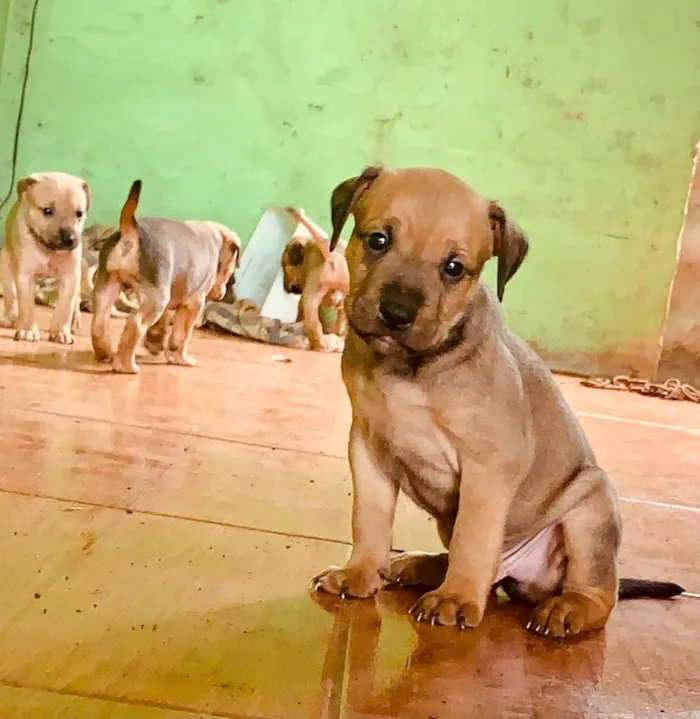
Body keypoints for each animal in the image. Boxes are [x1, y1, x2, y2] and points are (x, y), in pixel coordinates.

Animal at [0, 173, 90, 344]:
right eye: (48, 211)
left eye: (79, 213)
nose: (70, 239)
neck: (49, 249)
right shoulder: (26, 275)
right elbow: (27, 305)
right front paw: (28, 330)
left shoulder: (71, 276)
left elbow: (66, 306)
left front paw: (60, 331)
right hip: (5, 263)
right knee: (11, 296)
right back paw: (10, 318)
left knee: (76, 300)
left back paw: (74, 321)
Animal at [91, 180, 239, 374]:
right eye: (231, 275)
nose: (221, 295)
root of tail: (132, 231)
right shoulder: (194, 303)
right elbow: (182, 335)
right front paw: (181, 358)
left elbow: (163, 324)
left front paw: (155, 343)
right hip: (156, 298)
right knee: (135, 324)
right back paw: (126, 365)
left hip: (109, 284)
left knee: (98, 323)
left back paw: (106, 353)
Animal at [282, 205, 350, 352]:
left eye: (284, 268)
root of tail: (334, 260)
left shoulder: (304, 296)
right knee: (341, 324)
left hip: (311, 298)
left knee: (315, 325)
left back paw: (317, 345)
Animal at [314, 166, 684, 640]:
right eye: (377, 240)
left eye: (454, 268)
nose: (396, 313)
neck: (410, 367)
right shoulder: (368, 445)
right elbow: (370, 517)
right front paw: (359, 572)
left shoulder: (487, 465)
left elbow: (474, 536)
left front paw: (455, 600)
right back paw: (420, 567)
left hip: (590, 509)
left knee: (599, 593)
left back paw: (565, 608)